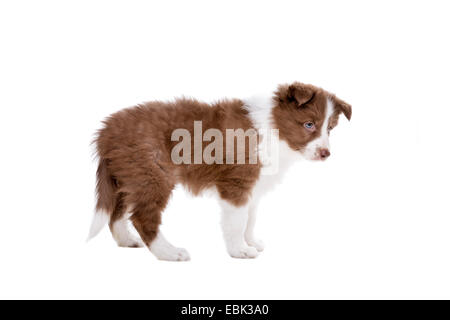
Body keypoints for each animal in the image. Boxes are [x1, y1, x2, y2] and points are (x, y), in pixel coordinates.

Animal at [89, 82, 352, 260]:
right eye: (309, 124)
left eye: (330, 128)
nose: (325, 153)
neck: (273, 128)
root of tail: (106, 130)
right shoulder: (236, 183)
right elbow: (237, 220)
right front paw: (240, 250)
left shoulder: (253, 186)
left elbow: (250, 218)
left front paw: (251, 241)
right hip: (152, 174)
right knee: (142, 217)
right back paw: (170, 253)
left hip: (127, 174)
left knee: (117, 212)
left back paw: (127, 241)